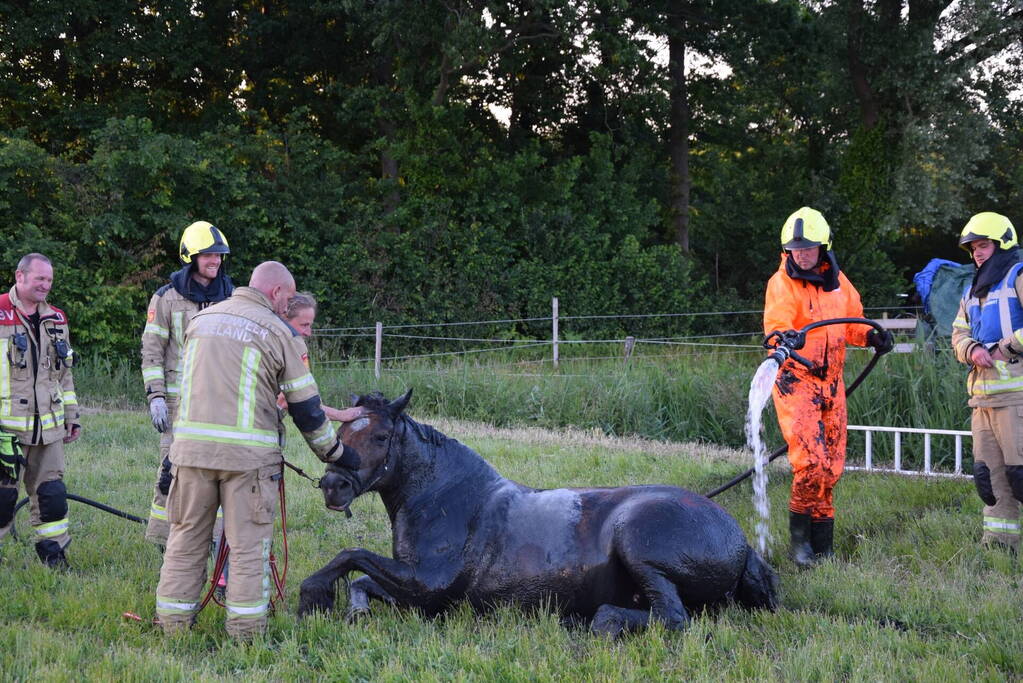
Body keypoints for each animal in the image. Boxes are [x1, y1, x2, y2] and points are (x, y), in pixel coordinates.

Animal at [298, 390, 778, 635]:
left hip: (638, 543)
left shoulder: (428, 584)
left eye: (380, 436)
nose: (333, 486)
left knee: (672, 618)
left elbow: (352, 555)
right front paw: (355, 611)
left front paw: (313, 596)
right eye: (341, 429)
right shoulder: (417, 592)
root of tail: (741, 542)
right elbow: (361, 578)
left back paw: (598, 620)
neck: (443, 495)